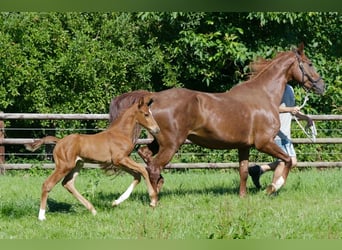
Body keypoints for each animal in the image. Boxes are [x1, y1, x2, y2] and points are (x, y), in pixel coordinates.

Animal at [26, 94, 160, 221]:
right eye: (146, 114)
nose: (157, 129)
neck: (120, 133)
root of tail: (59, 142)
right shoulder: (120, 159)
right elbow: (143, 170)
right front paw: (153, 201)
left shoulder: (118, 162)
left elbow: (137, 175)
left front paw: (116, 202)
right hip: (63, 166)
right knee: (47, 184)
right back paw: (41, 216)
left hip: (77, 164)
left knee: (68, 183)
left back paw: (93, 210)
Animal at [110, 43, 326, 203]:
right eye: (309, 63)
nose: (322, 86)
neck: (264, 95)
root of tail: (153, 97)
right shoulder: (264, 142)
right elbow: (287, 160)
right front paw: (272, 188)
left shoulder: (244, 146)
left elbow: (243, 171)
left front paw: (243, 196)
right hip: (171, 144)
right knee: (154, 167)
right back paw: (154, 200)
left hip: (159, 141)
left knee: (145, 155)